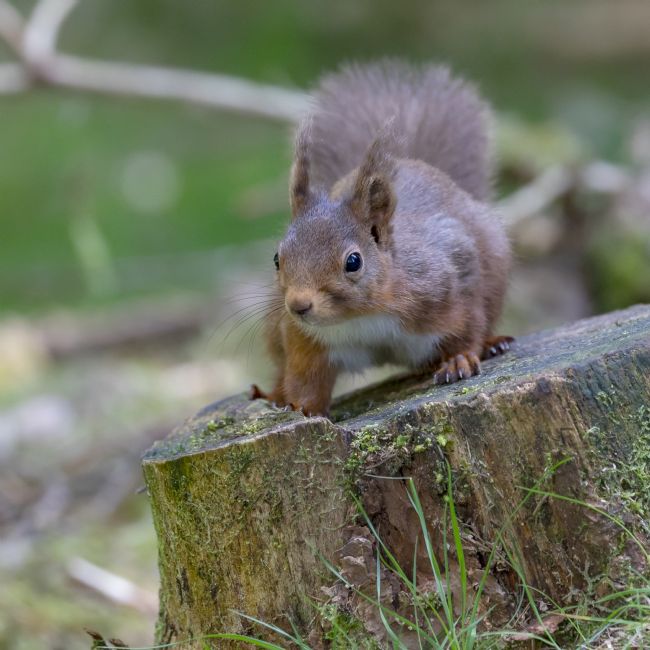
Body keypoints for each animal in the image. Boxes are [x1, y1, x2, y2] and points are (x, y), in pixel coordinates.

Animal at [251, 60, 512, 417]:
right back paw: (271, 394)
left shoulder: (448, 279)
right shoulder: (306, 339)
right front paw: (297, 406)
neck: (362, 316)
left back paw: (493, 343)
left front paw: (460, 359)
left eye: (353, 261)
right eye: (277, 258)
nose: (298, 306)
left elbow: (467, 325)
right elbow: (305, 376)